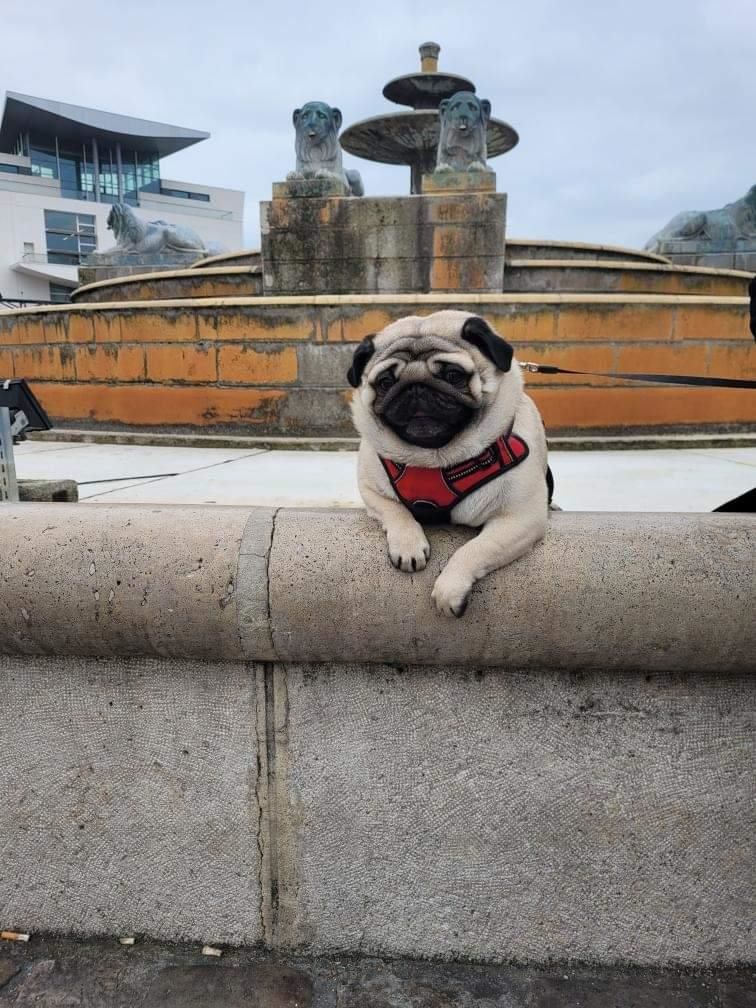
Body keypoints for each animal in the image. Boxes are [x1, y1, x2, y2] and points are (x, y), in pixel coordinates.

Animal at [348, 310, 552, 616]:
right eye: (385, 382)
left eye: (452, 375)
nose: (415, 387)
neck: (434, 457)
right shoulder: (371, 490)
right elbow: (396, 511)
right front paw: (408, 545)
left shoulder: (519, 519)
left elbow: (475, 549)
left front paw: (450, 589)